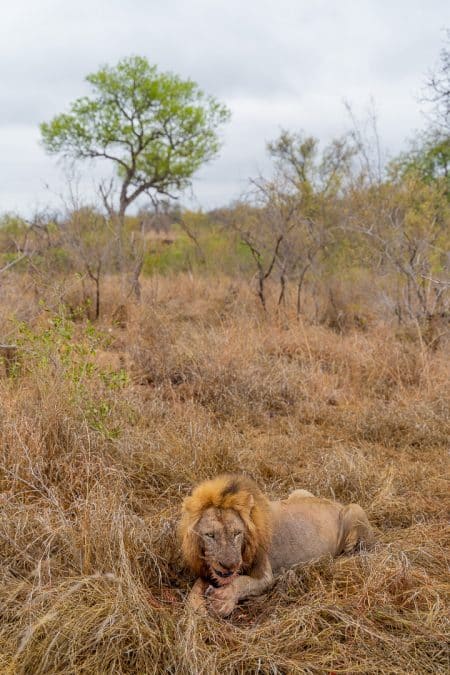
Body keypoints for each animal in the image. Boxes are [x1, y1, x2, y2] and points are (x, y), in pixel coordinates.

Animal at [179, 476, 372, 616]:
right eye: (210, 535)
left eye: (237, 533)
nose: (230, 566)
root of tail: (336, 502)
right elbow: (195, 589)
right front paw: (195, 608)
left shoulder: (265, 575)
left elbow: (243, 582)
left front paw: (222, 600)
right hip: (298, 492)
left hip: (354, 510)